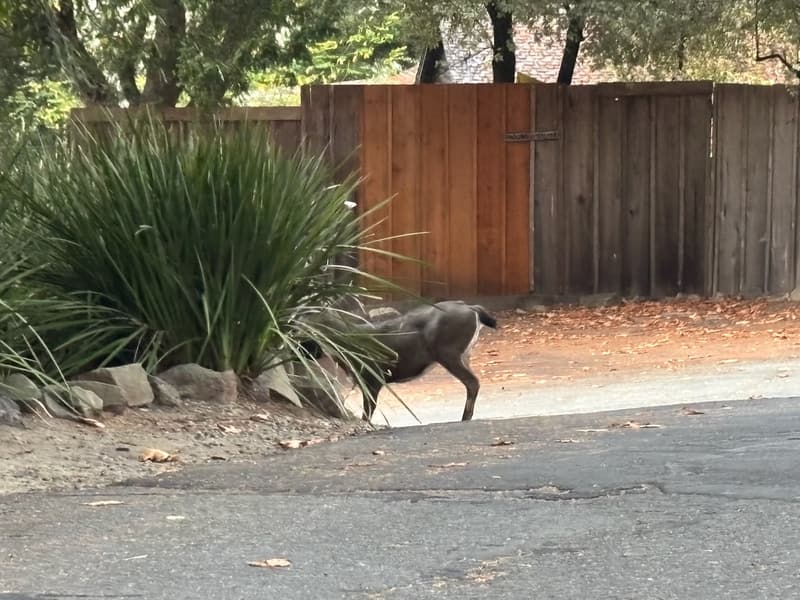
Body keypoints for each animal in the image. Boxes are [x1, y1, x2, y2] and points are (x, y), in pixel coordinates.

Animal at [300, 300, 498, 422]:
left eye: (303, 332)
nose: (299, 352)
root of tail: (473, 309)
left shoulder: (373, 377)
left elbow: (367, 413)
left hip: (448, 352)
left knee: (472, 382)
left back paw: (464, 418)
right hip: (463, 354)